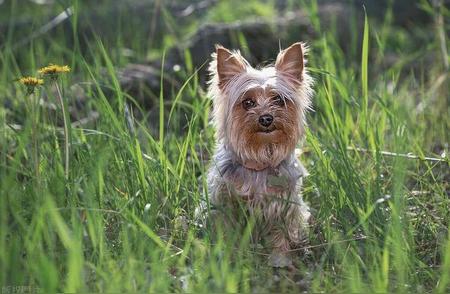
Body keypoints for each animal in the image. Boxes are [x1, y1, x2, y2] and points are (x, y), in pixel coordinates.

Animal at [205, 43, 312, 266]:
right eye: (247, 103)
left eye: (278, 100)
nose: (266, 118)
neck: (260, 159)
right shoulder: (226, 202)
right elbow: (227, 230)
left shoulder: (283, 205)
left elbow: (281, 234)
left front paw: (280, 259)